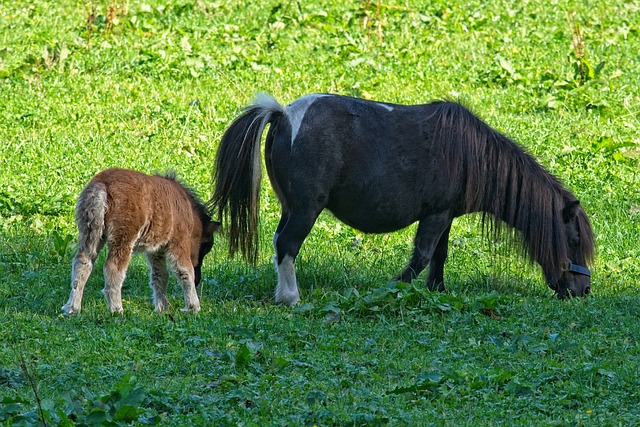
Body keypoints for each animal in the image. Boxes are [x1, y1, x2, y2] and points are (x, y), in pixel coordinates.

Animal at [62, 169, 220, 316]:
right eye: (207, 246)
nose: (198, 280)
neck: (187, 211)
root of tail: (101, 184)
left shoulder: (155, 250)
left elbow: (160, 275)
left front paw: (162, 308)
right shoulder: (178, 242)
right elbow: (185, 271)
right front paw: (193, 307)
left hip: (90, 231)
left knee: (82, 262)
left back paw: (72, 308)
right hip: (123, 236)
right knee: (113, 268)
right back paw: (116, 309)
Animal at [211, 95, 596, 306]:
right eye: (574, 240)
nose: (584, 289)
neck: (470, 154)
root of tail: (282, 115)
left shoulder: (445, 215)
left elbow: (439, 255)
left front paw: (437, 291)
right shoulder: (436, 215)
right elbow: (422, 256)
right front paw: (393, 289)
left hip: (292, 207)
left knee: (280, 243)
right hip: (307, 209)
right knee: (288, 245)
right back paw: (291, 298)